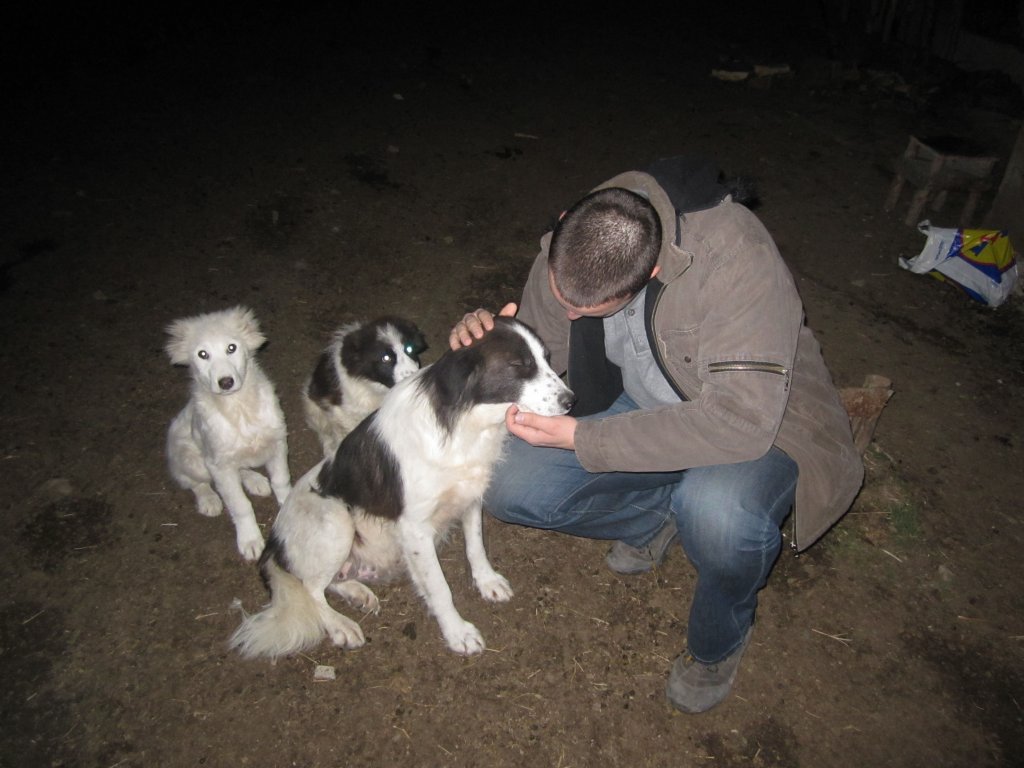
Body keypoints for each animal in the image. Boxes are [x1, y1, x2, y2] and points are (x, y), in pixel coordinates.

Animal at [165, 306, 292, 562]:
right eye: (202, 354)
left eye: (231, 348)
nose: (225, 382)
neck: (239, 407)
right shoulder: (219, 464)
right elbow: (240, 505)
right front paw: (250, 539)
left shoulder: (277, 443)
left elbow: (281, 480)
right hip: (191, 458)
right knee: (194, 482)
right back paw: (209, 499)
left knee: (240, 469)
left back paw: (254, 480)